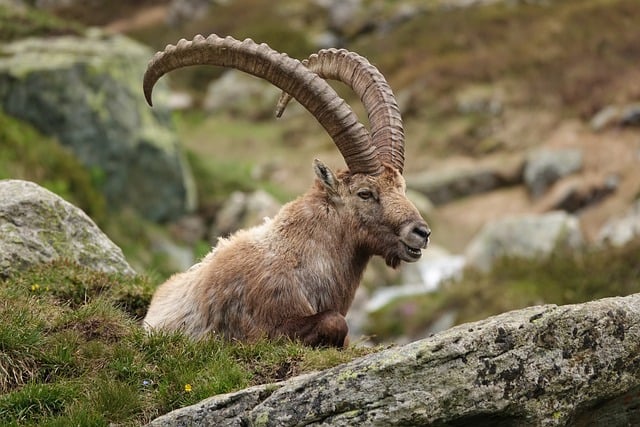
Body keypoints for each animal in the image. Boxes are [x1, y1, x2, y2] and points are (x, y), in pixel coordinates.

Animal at [142, 34, 430, 347]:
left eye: (402, 187)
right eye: (365, 193)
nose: (422, 233)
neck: (299, 259)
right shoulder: (261, 330)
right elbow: (335, 321)